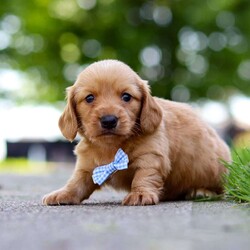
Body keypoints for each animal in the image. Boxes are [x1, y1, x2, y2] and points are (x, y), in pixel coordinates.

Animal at [42, 59, 231, 205]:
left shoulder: (151, 156)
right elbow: (77, 182)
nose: (109, 120)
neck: (111, 146)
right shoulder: (88, 167)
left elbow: (144, 175)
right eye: (89, 98)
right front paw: (63, 193)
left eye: (126, 96)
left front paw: (140, 194)